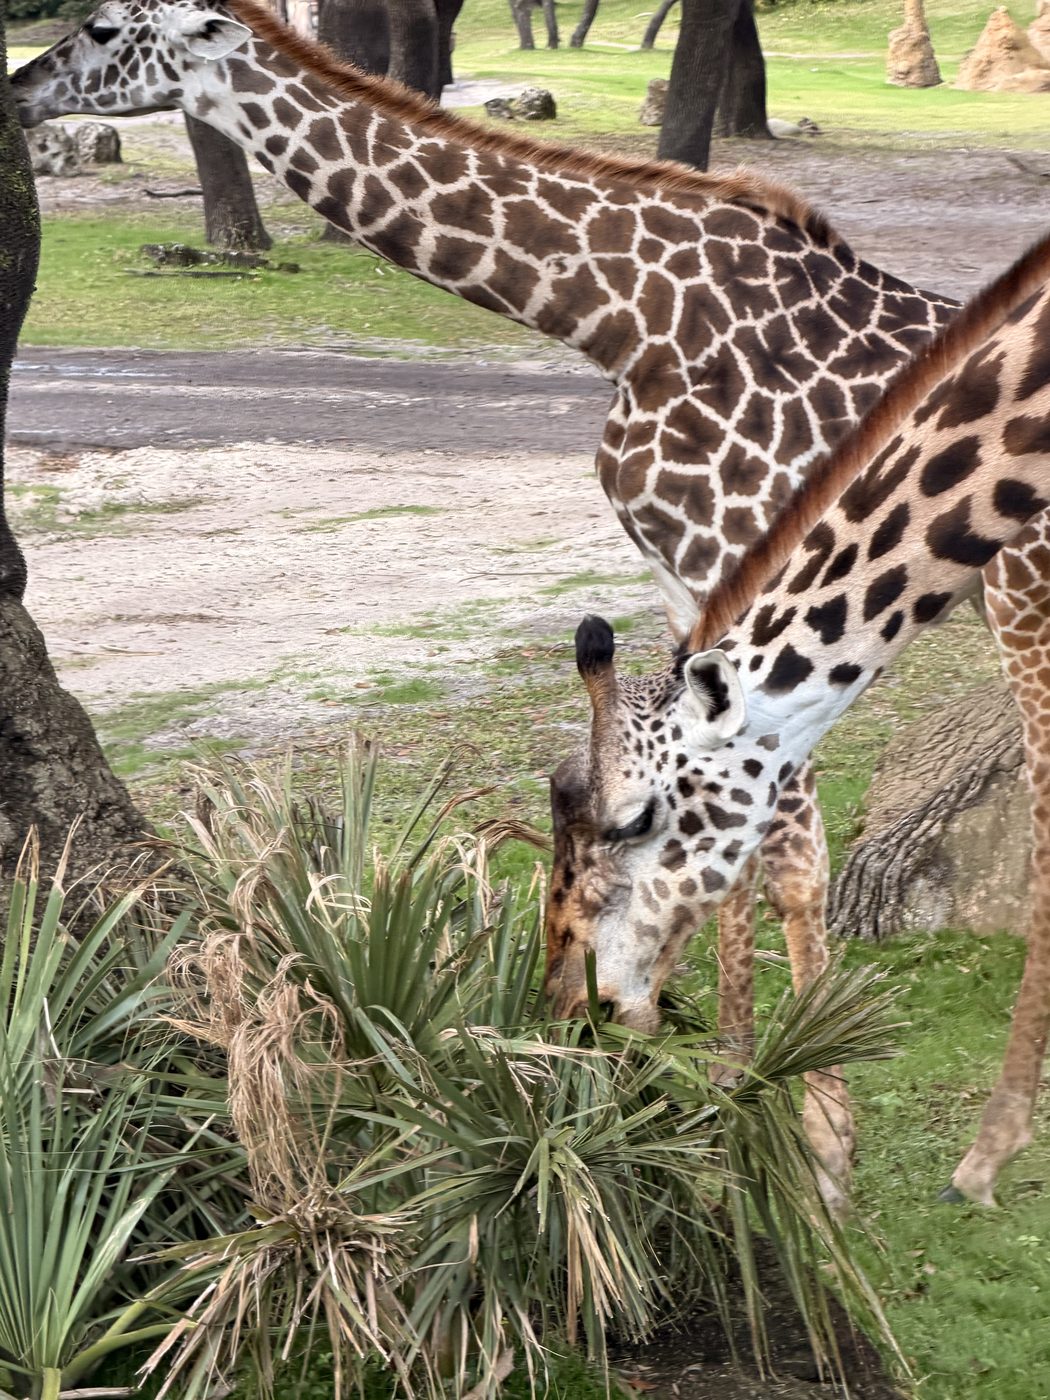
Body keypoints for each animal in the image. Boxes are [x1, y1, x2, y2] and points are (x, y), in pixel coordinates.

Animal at [9, 0, 963, 1192]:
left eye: (101, 27)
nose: (20, 91)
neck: (624, 316)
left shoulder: (736, 556)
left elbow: (779, 854)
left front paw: (808, 1140)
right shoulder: (690, 583)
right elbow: (741, 837)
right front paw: (745, 1100)